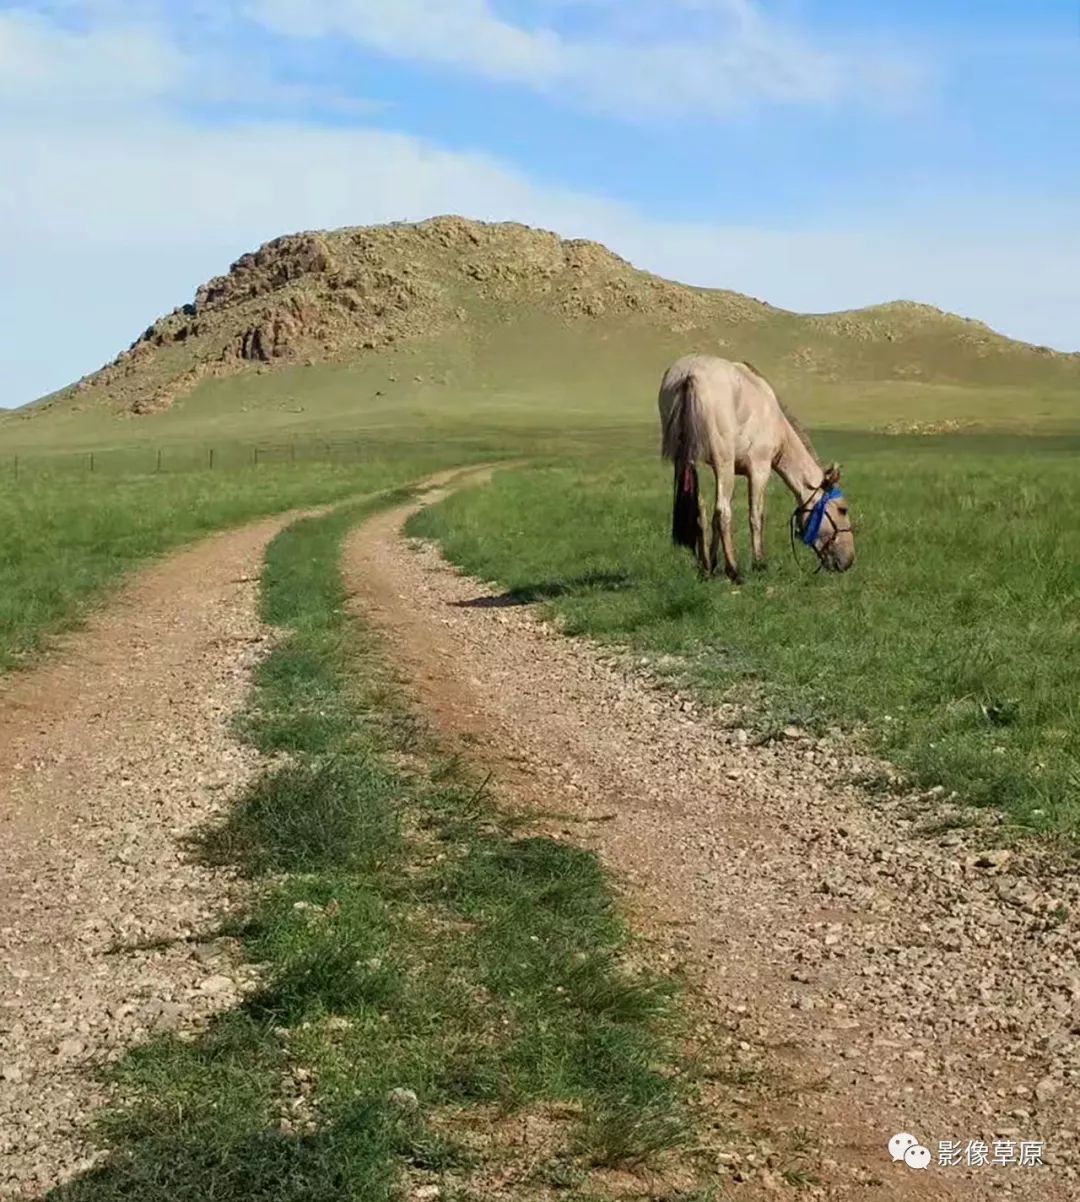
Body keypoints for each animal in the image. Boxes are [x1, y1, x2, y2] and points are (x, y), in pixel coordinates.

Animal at [653, 350, 855, 581]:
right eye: (842, 509)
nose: (848, 560)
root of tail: (688, 375)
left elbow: (713, 518)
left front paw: (712, 563)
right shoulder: (759, 470)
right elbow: (756, 516)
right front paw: (759, 563)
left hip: (693, 464)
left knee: (702, 513)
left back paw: (706, 569)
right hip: (723, 463)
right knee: (723, 511)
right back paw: (734, 571)